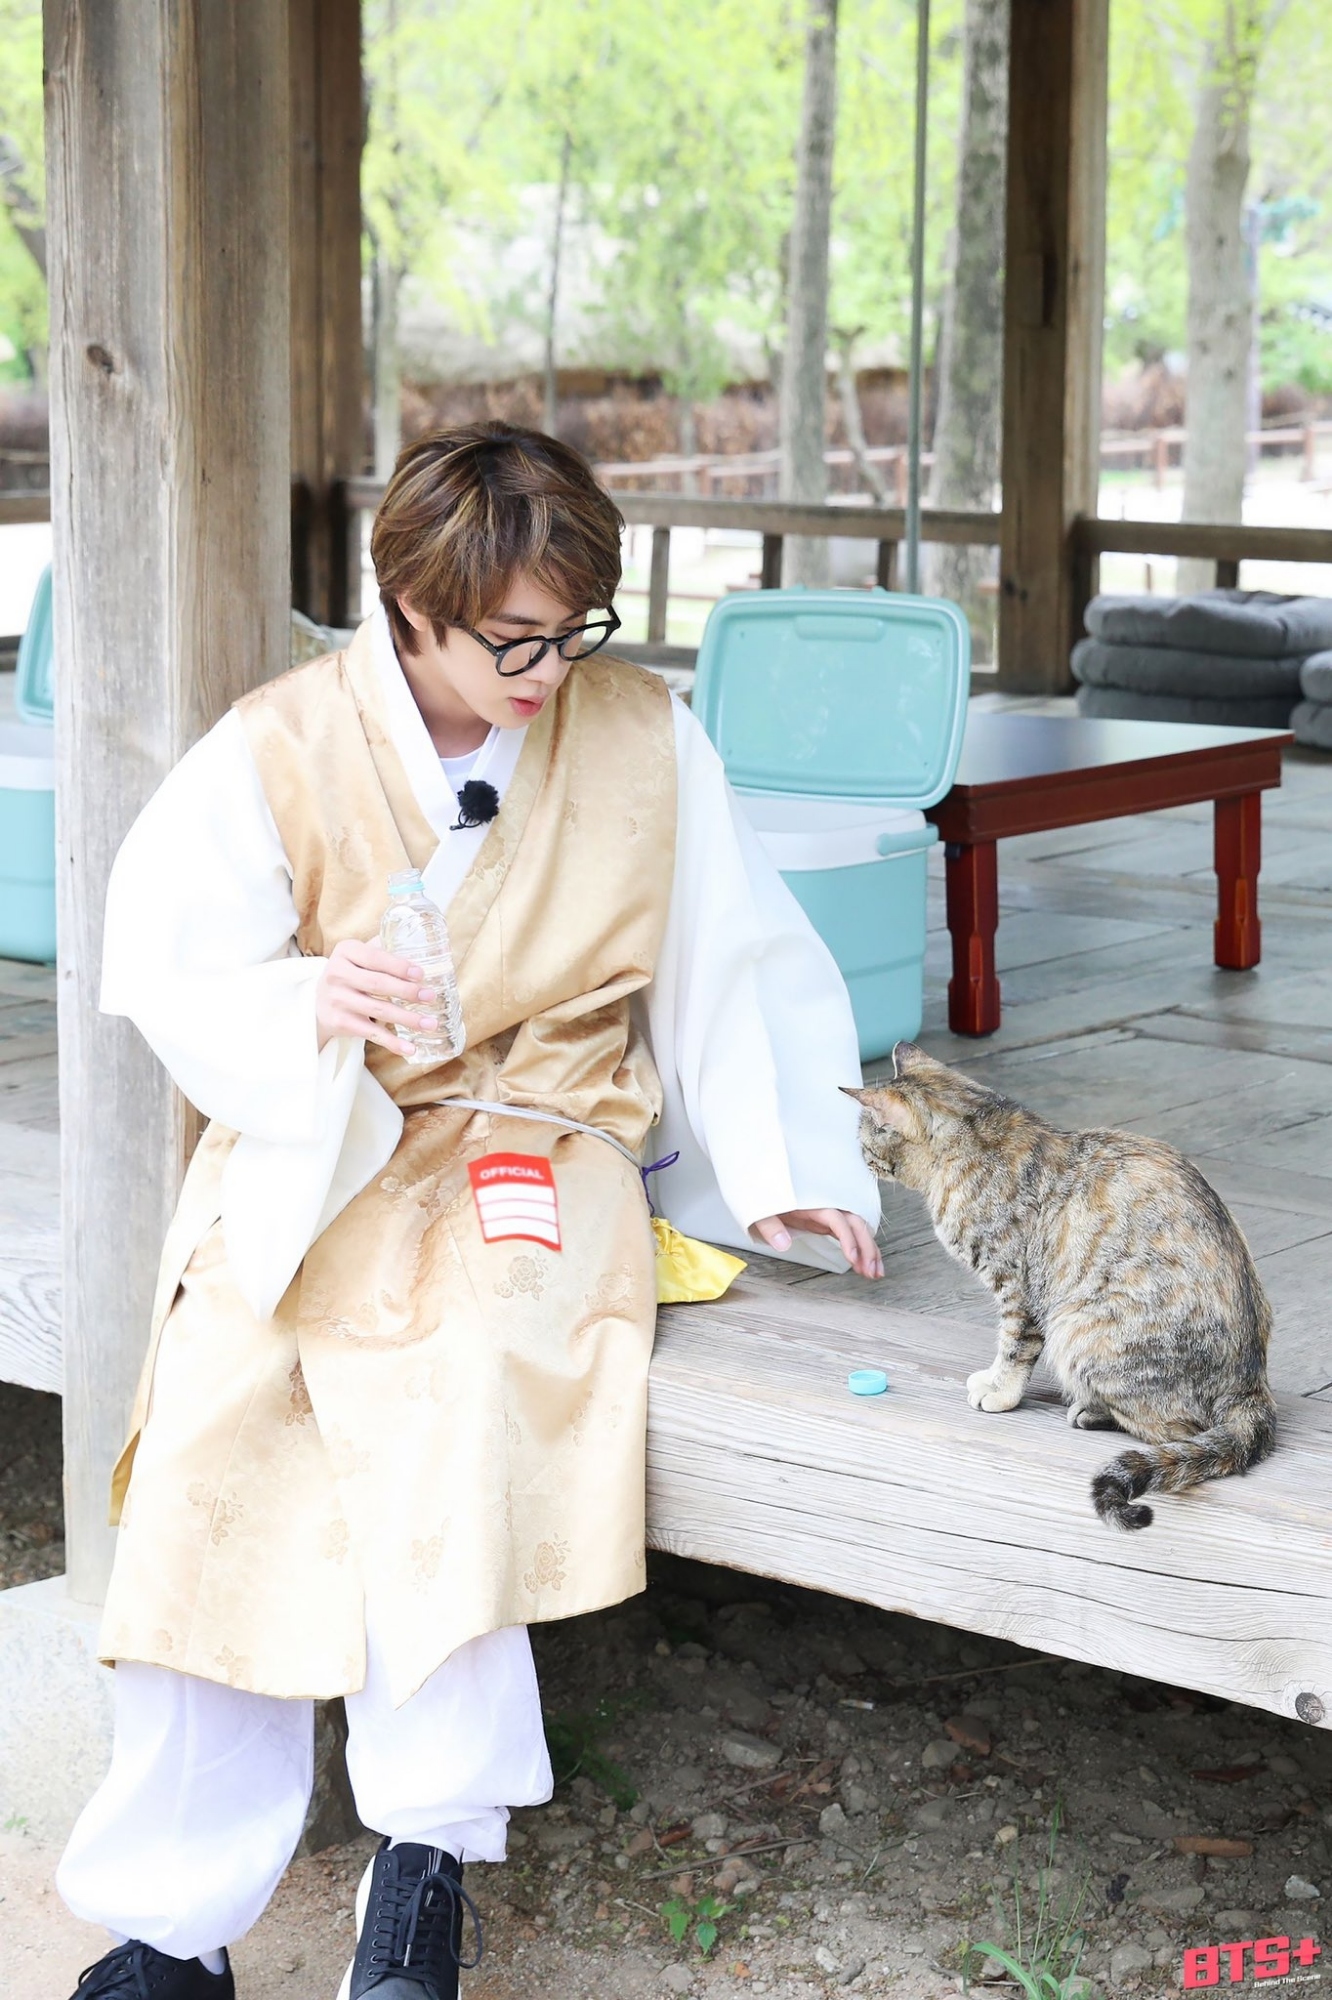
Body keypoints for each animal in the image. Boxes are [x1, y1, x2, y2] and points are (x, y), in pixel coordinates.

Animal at [847, 1042, 1276, 1530]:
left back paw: (1091, 1412)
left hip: (1076, 1328)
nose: (858, 1158)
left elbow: (1013, 1347)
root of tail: (1250, 1385)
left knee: (1179, 1430)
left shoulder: (1017, 1286)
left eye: (864, 1137)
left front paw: (999, 1390)